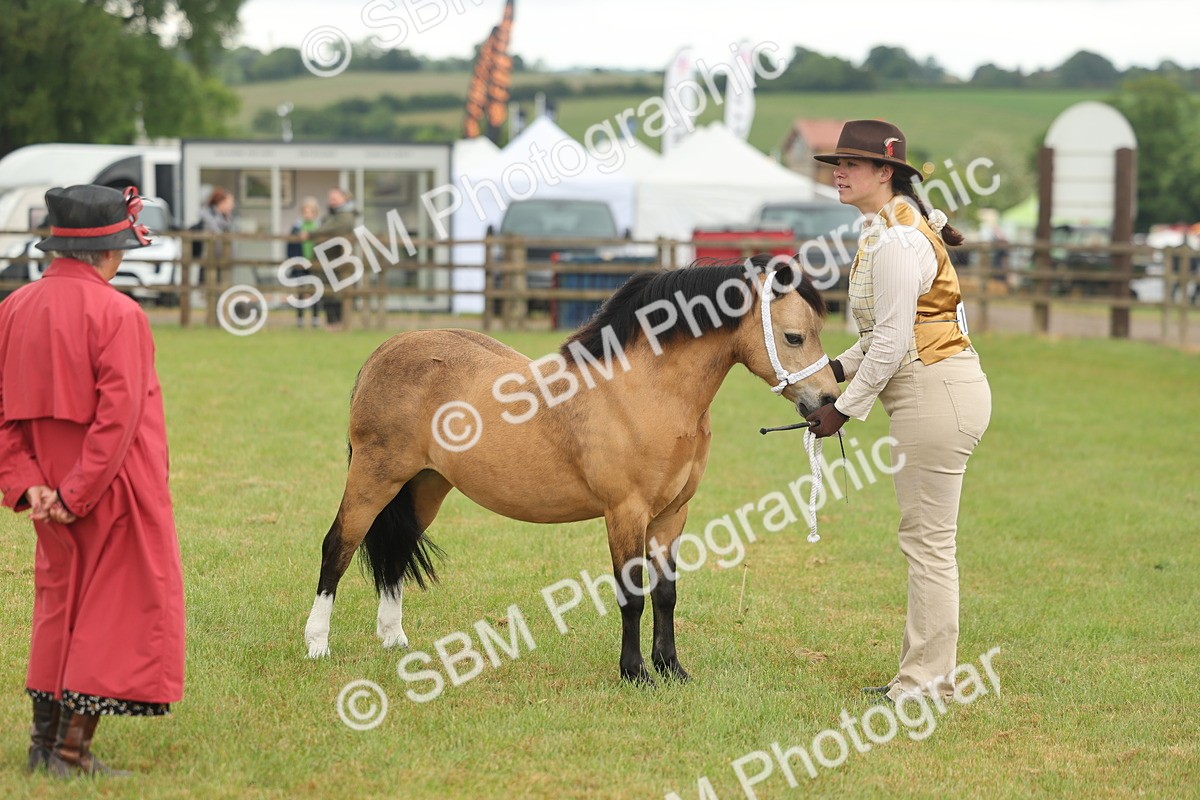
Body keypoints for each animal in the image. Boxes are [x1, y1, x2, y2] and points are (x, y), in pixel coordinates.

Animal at [303, 255, 840, 683]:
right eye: (794, 336)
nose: (827, 402)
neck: (642, 390)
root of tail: (386, 351)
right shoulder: (625, 513)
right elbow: (633, 595)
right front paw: (635, 673)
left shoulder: (672, 516)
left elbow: (666, 594)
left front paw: (671, 669)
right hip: (375, 477)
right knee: (338, 547)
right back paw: (317, 644)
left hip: (425, 486)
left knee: (395, 552)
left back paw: (393, 640)